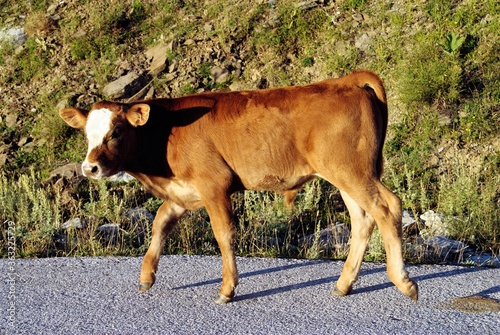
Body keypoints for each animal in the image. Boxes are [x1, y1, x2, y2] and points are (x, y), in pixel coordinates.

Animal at [58, 70, 418, 304]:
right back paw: (344, 284)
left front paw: (227, 289)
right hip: (345, 176)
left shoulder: (213, 184)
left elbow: (223, 235)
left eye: (116, 132)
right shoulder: (182, 193)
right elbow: (159, 225)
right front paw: (147, 276)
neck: (165, 134)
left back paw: (403, 281)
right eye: (87, 134)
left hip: (351, 171)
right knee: (362, 219)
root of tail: (346, 81)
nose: (90, 167)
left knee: (387, 208)